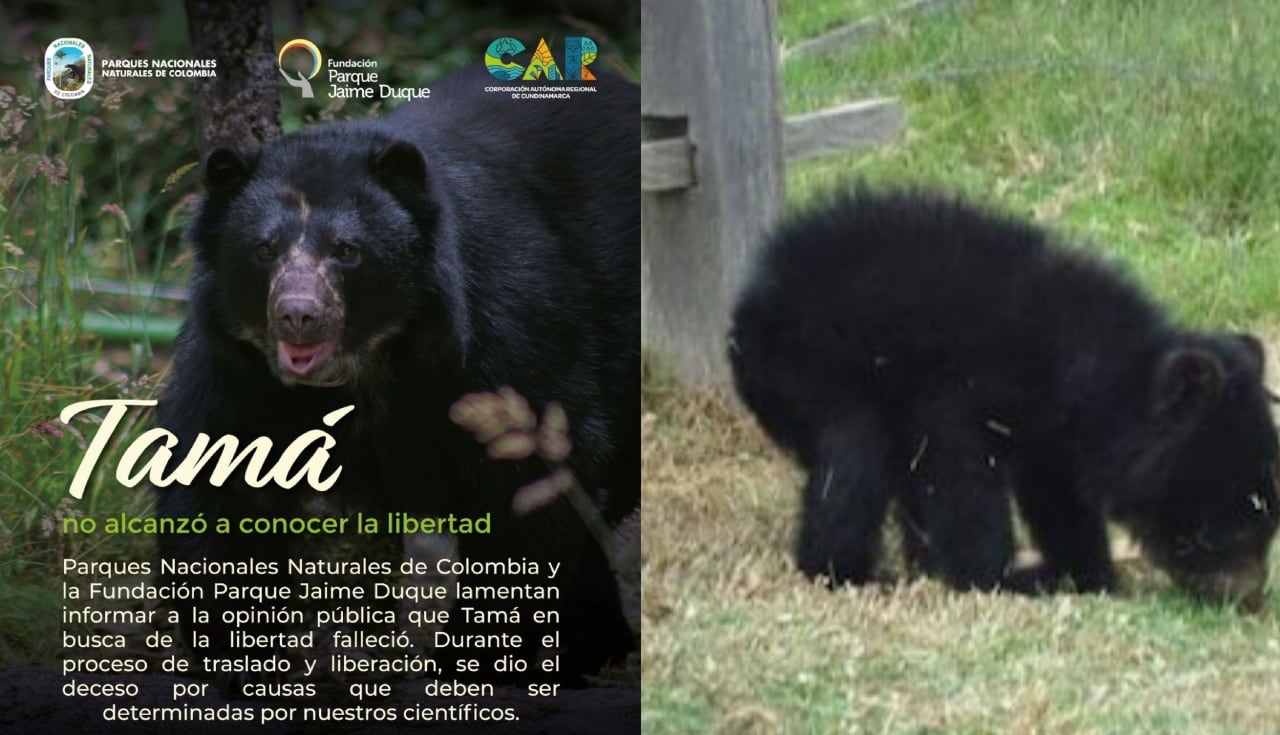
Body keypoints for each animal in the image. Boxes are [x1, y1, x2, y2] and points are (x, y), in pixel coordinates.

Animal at [154, 65, 638, 695]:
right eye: (263, 249)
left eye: (347, 251)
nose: (298, 315)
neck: (364, 361)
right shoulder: (235, 363)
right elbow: (217, 478)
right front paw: (251, 661)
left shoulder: (507, 324)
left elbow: (533, 477)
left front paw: (481, 664)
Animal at [729, 187, 1279, 608]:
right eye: (1235, 521)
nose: (1249, 598)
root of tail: (747, 301)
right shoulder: (965, 388)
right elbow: (963, 475)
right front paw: (1000, 577)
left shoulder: (1052, 430)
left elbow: (1058, 497)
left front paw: (1082, 571)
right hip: (814, 366)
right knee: (855, 458)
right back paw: (851, 572)